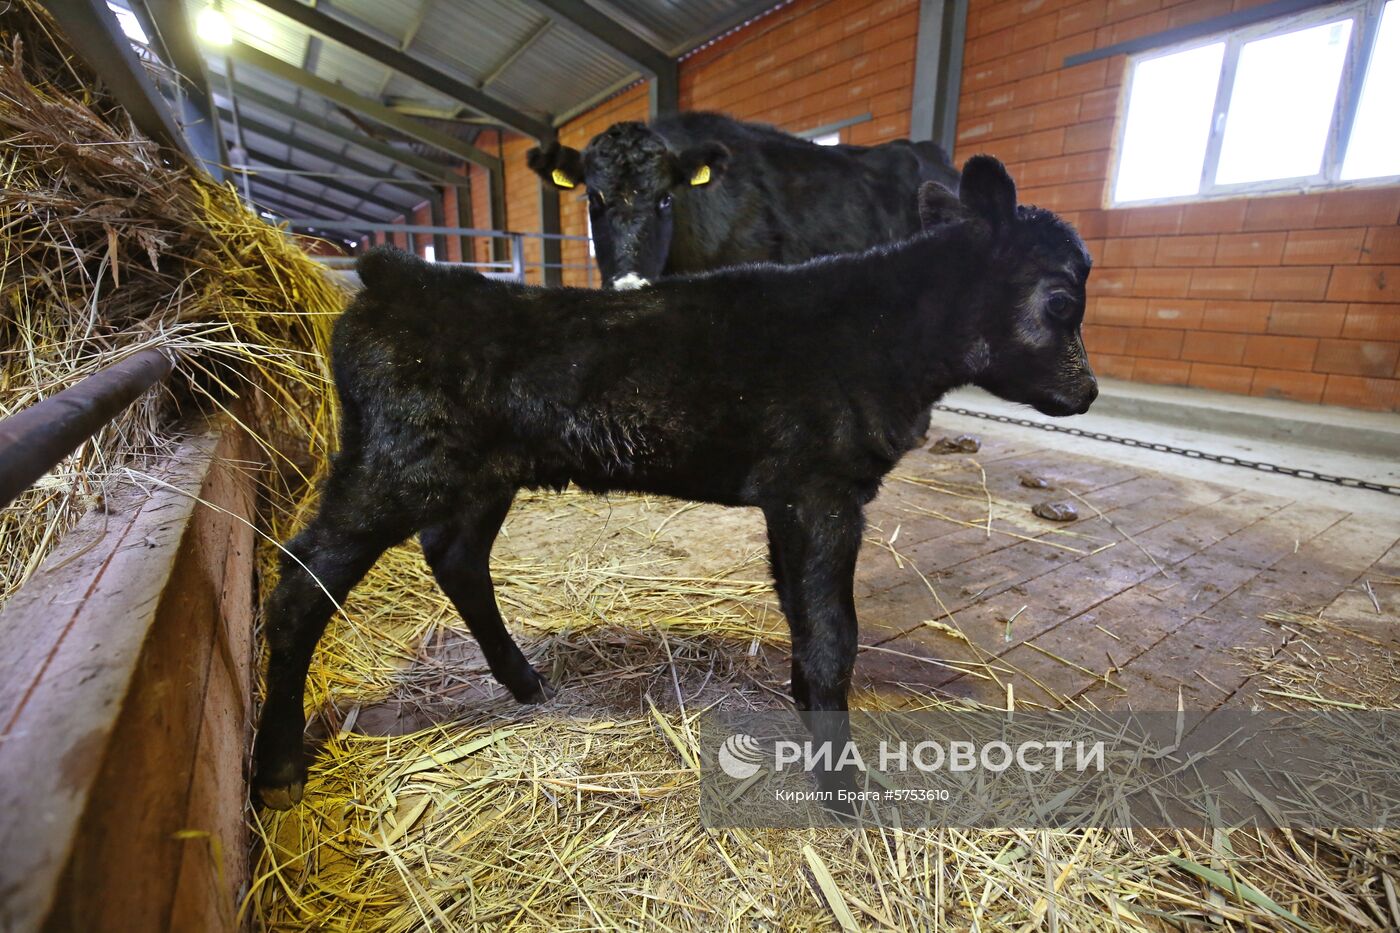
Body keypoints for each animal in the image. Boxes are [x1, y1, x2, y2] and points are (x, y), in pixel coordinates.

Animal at [257, 158, 1097, 806]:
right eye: (1061, 301)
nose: (1087, 392)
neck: (885, 333)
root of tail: (393, 275)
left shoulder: (788, 495)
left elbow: (801, 613)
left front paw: (806, 714)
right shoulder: (822, 489)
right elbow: (835, 634)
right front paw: (842, 788)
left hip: (481, 472)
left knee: (455, 555)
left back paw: (525, 682)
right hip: (393, 466)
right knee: (299, 584)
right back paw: (277, 765)